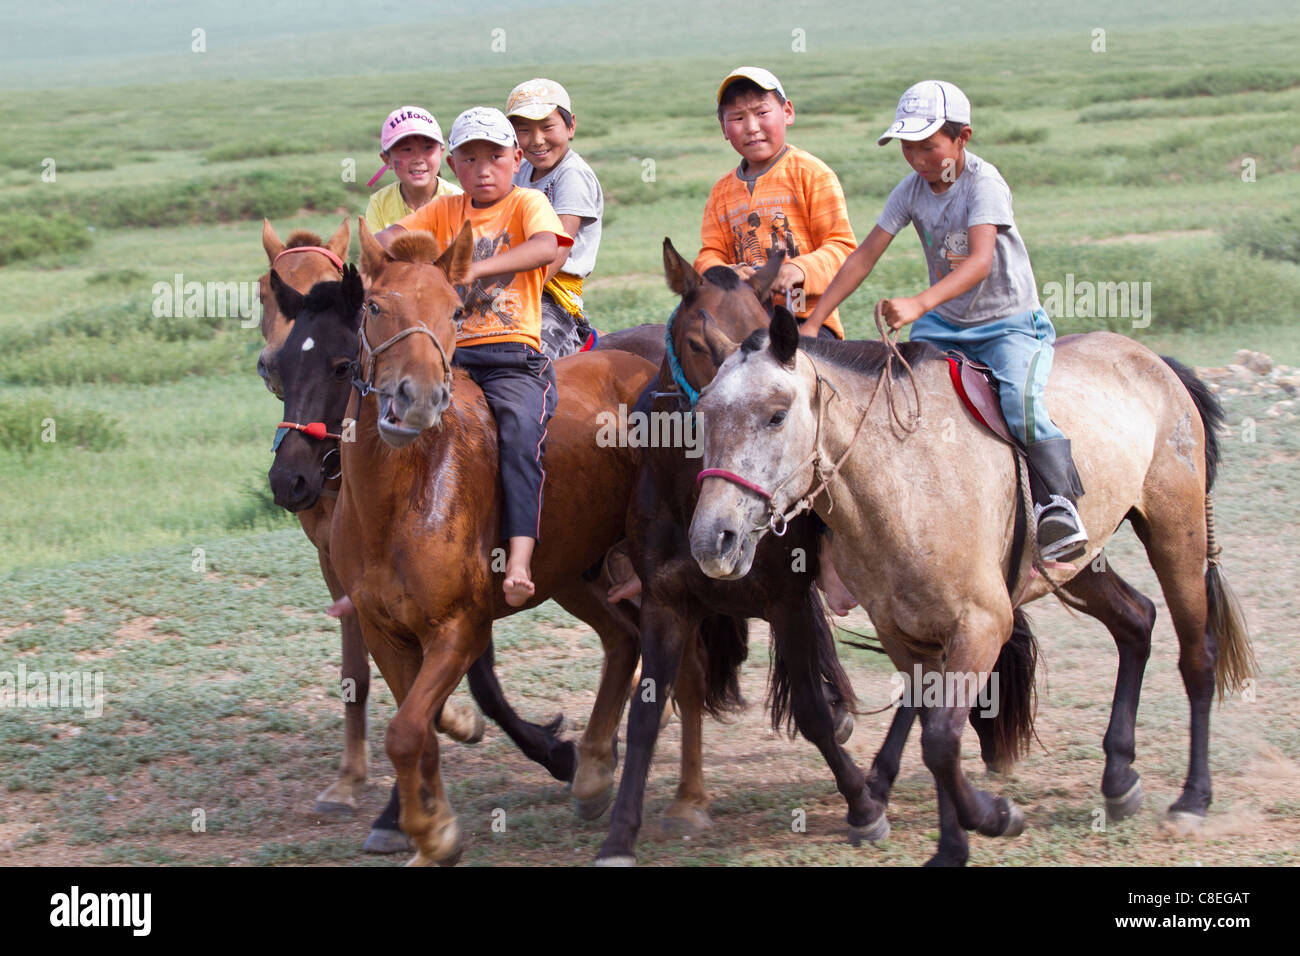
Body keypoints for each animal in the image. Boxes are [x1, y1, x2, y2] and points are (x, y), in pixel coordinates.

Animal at [691, 306, 1248, 868]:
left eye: (776, 415)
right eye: (704, 415)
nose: (712, 539)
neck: (905, 480)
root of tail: (1155, 362)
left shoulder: (982, 627)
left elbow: (941, 740)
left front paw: (994, 817)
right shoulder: (904, 634)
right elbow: (934, 732)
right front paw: (952, 844)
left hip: (1176, 535)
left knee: (1197, 657)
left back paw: (1193, 798)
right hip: (1080, 567)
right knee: (1136, 622)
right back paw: (1118, 777)